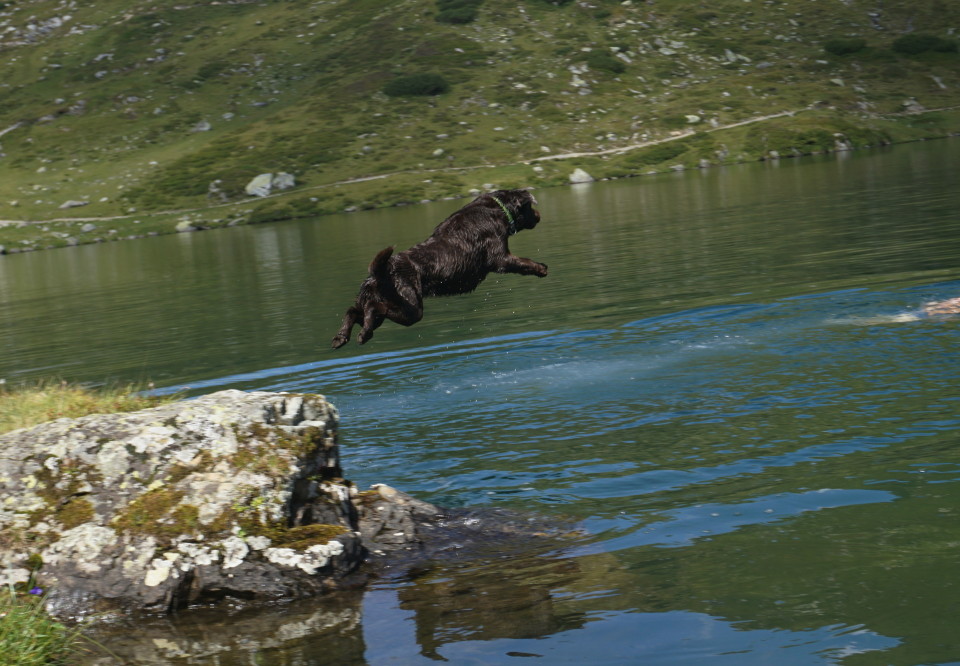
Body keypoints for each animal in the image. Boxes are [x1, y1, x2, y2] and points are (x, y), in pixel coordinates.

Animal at [332, 188, 548, 348]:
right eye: (530, 208)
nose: (539, 215)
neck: (498, 209)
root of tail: (378, 275)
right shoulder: (500, 258)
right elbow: (523, 263)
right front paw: (541, 268)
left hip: (378, 303)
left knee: (354, 311)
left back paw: (342, 337)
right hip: (411, 308)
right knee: (374, 307)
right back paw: (359, 335)